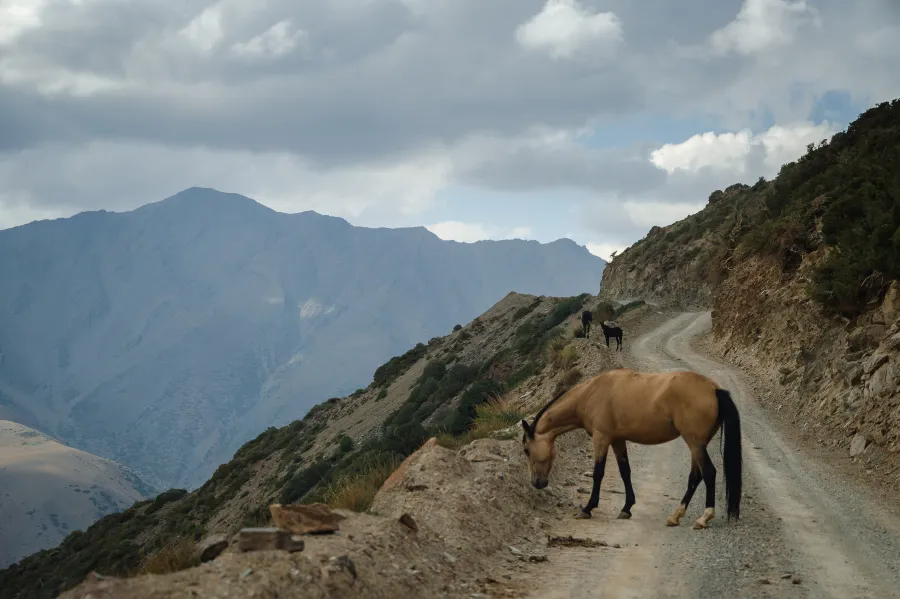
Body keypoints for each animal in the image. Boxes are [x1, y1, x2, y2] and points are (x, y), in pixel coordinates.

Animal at [520, 368, 742, 530]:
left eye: (526, 450)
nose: (537, 482)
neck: (591, 393)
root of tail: (713, 389)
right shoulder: (618, 440)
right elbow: (625, 471)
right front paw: (626, 508)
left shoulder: (602, 438)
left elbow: (598, 473)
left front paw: (588, 508)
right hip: (697, 445)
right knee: (695, 477)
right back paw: (675, 516)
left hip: (695, 443)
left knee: (709, 473)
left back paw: (703, 518)